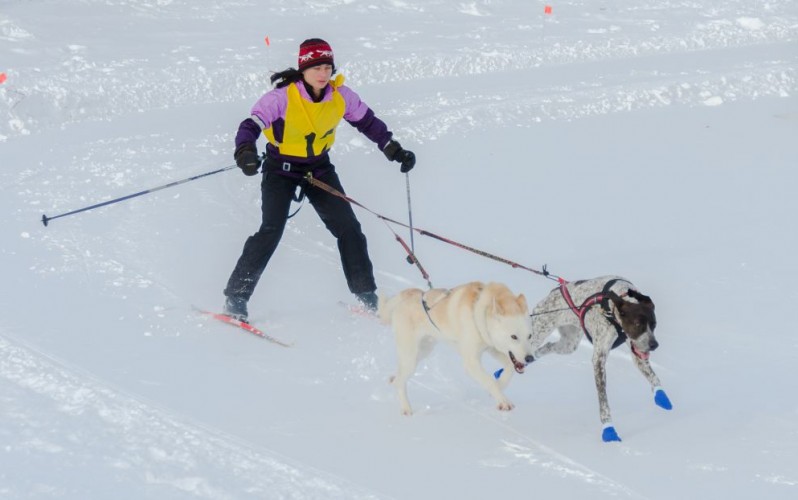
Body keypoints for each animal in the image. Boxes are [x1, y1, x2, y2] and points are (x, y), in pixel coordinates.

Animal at [378, 282, 536, 414]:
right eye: (514, 337)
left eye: (530, 336)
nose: (530, 358)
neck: (478, 311)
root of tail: (413, 294)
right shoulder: (471, 362)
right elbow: (489, 381)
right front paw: (503, 401)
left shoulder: (493, 349)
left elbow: (509, 369)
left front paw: (499, 388)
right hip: (411, 357)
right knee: (401, 382)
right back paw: (406, 408)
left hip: (422, 352)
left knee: (399, 375)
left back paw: (393, 378)